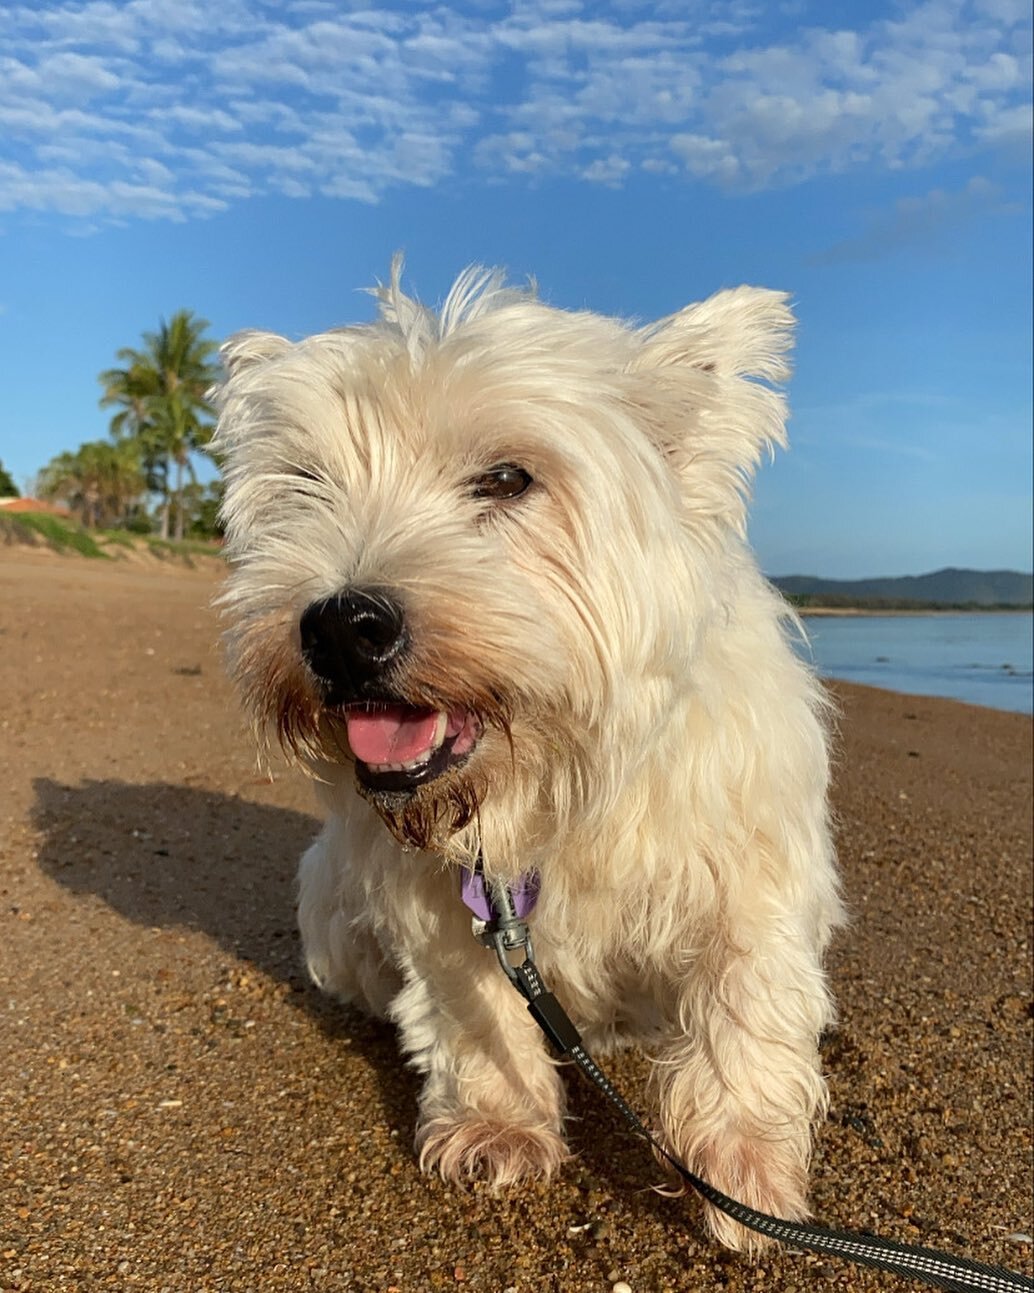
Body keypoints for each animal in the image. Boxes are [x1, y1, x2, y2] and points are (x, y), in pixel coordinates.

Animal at [214, 265, 842, 1251]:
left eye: (508, 478)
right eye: (305, 482)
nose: (341, 628)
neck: (548, 783)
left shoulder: (749, 868)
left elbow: (746, 1001)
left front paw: (745, 1167)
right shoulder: (446, 904)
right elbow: (474, 1013)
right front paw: (496, 1126)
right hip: (330, 899)